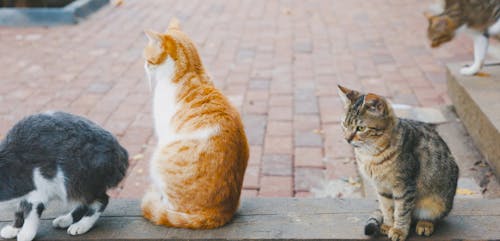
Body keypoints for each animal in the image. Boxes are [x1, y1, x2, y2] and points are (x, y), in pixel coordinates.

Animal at [141, 17, 250, 229]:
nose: (144, 65)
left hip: (159, 157)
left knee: (171, 207)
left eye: (149, 61)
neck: (191, 71)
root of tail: (221, 212)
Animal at [338, 86, 458, 241]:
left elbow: (402, 211)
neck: (371, 154)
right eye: (344, 125)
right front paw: (389, 225)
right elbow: (387, 208)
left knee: (432, 217)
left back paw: (425, 224)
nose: (347, 139)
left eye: (360, 128)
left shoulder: (404, 186)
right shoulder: (382, 188)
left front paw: (399, 230)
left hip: (440, 202)